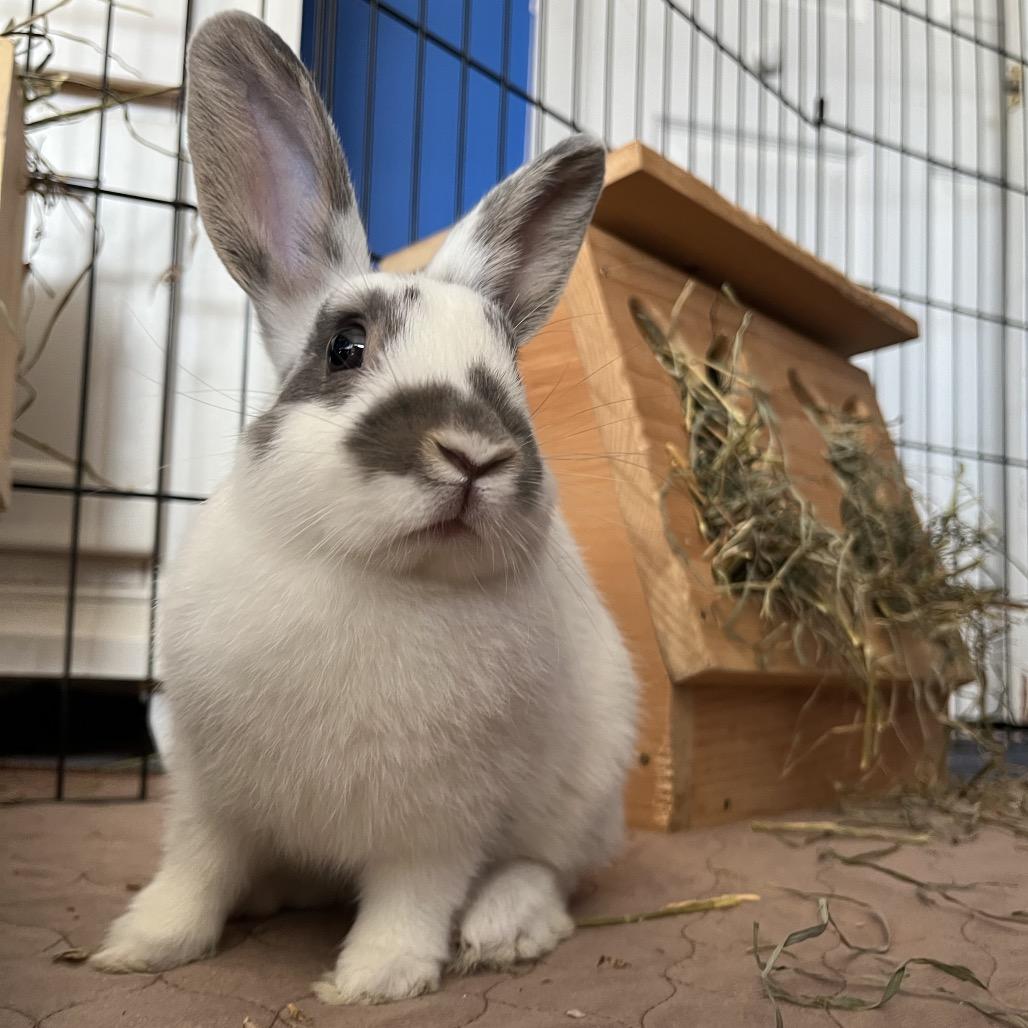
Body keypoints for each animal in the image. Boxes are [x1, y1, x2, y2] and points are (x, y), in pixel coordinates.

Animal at [89, 10, 638, 1006]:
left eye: (510, 373)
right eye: (345, 347)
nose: (473, 454)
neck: (377, 575)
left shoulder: (437, 827)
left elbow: (410, 900)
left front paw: (374, 981)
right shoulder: (208, 798)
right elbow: (193, 874)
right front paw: (141, 947)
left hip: (586, 784)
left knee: (551, 871)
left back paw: (505, 927)